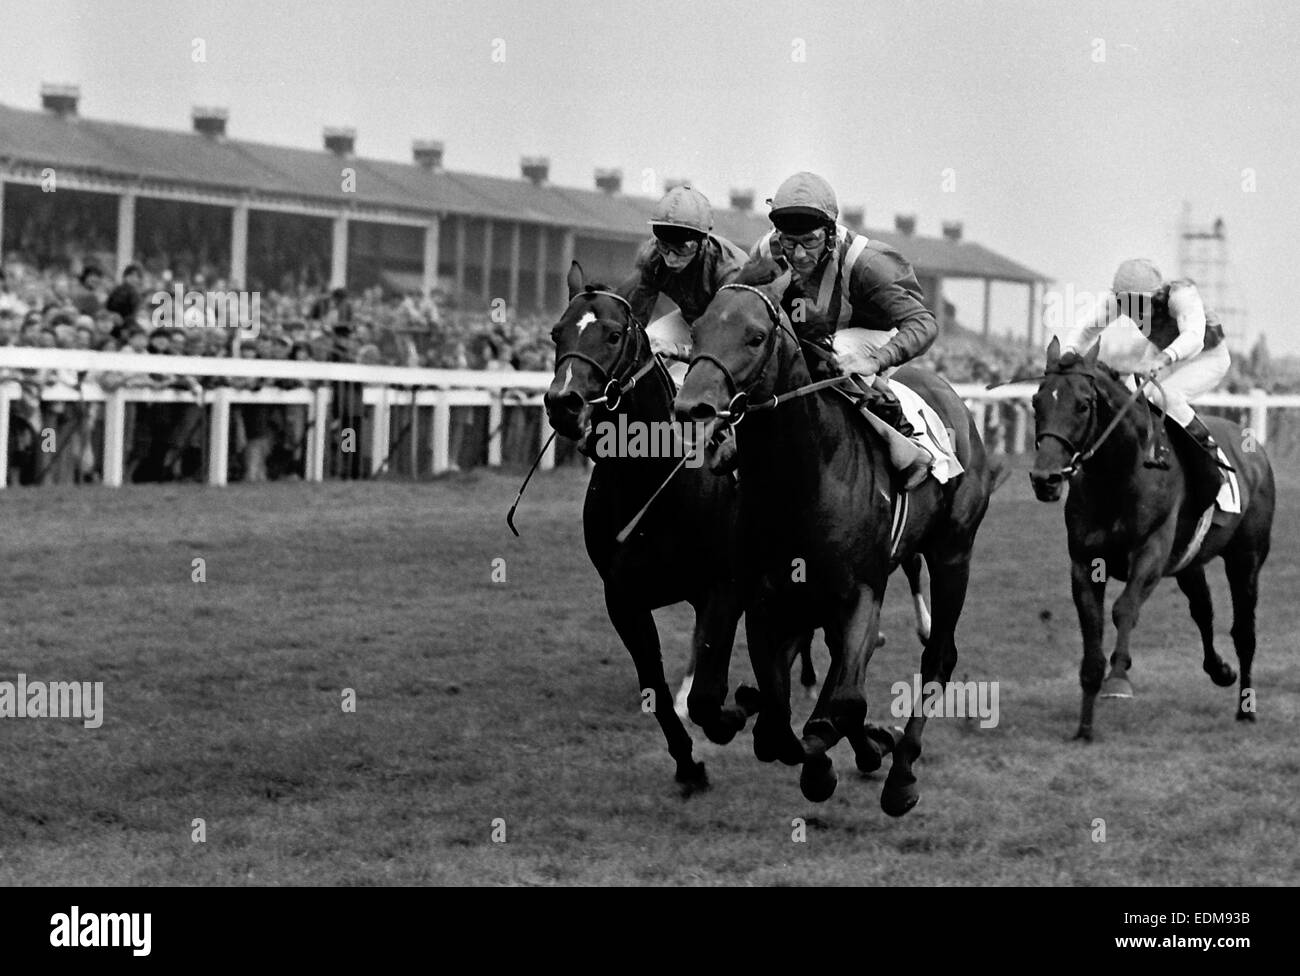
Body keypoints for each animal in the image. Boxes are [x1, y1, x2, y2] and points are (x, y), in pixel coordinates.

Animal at [540, 261, 811, 795]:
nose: (564, 403)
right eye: (558, 332)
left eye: (613, 333)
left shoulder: (722, 588)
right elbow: (657, 688)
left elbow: (709, 692)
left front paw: (736, 710)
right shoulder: (623, 599)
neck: (651, 481)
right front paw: (689, 765)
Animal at [676, 265, 987, 816]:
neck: (802, 479)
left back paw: (900, 773)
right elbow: (774, 723)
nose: (693, 406)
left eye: (756, 336)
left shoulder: (862, 591)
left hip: (954, 553)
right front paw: (812, 747)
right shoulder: (766, 600)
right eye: (697, 331)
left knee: (938, 658)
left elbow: (836, 708)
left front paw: (841, 758)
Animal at [1029, 337, 1274, 738]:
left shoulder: (1151, 553)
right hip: (1190, 562)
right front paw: (1085, 727)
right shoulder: (1084, 564)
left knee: (1244, 632)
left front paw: (1118, 679)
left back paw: (1246, 709)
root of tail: (1253, 445)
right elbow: (1092, 636)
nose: (1044, 479)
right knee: (1203, 610)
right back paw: (1220, 670)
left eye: (1083, 404)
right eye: (1037, 402)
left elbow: (1124, 609)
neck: (1117, 476)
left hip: (1246, 559)